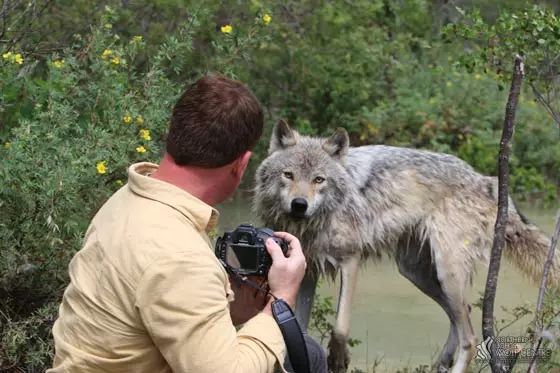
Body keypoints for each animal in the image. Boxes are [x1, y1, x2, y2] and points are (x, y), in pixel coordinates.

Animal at [254, 119, 560, 372]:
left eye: (319, 179)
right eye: (288, 175)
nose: (299, 205)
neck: (312, 224)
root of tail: (487, 180)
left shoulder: (350, 260)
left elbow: (340, 326)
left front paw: (338, 359)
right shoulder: (307, 271)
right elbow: (300, 327)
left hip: (446, 273)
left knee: (470, 338)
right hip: (417, 273)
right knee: (464, 317)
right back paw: (440, 364)